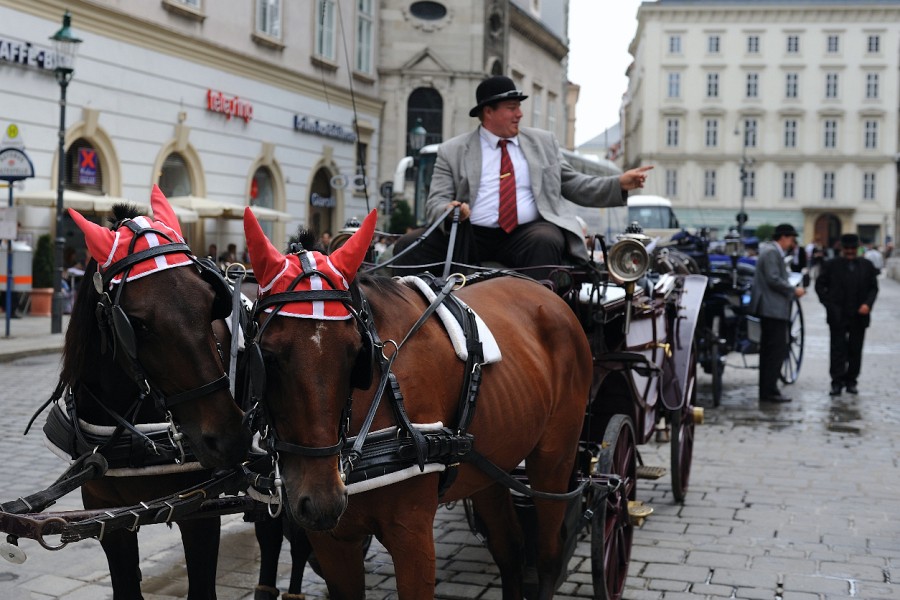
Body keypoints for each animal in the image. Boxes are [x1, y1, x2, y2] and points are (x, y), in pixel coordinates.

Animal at [243, 209, 596, 596]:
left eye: (355, 354)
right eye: (268, 357)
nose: (322, 500)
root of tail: (543, 289)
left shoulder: (411, 534)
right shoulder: (333, 542)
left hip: (554, 459)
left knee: (548, 555)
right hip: (490, 465)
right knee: (511, 551)